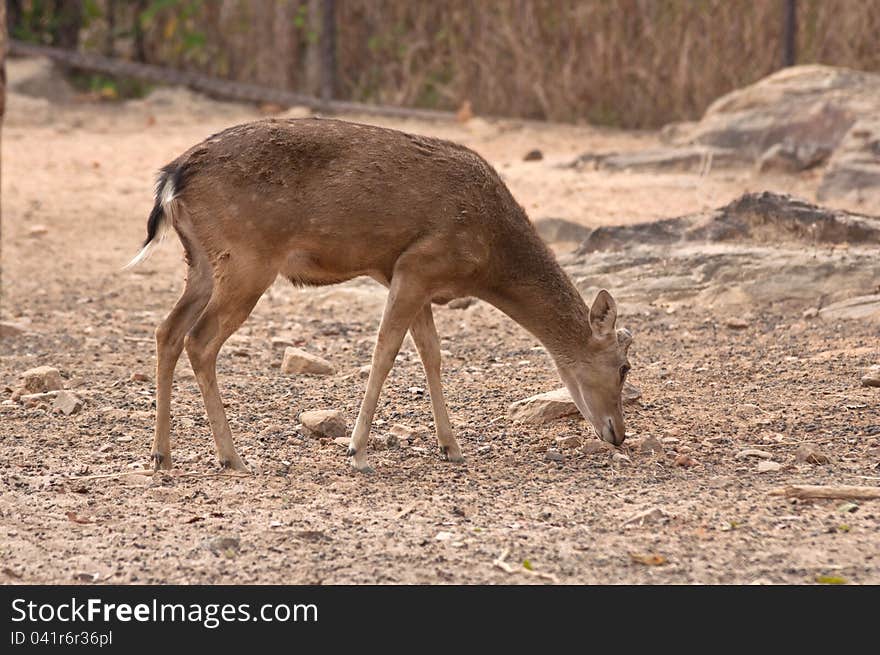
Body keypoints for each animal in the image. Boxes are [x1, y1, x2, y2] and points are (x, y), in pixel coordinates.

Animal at [125, 118, 632, 474]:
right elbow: (385, 351)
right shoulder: (416, 265)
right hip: (247, 259)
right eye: (625, 367)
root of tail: (172, 178)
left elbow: (431, 355)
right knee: (200, 339)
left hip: (202, 262)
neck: (487, 259)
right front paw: (357, 451)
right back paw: (232, 457)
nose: (619, 434)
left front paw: (451, 447)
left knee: (167, 330)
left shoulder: (412, 278)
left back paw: (162, 455)